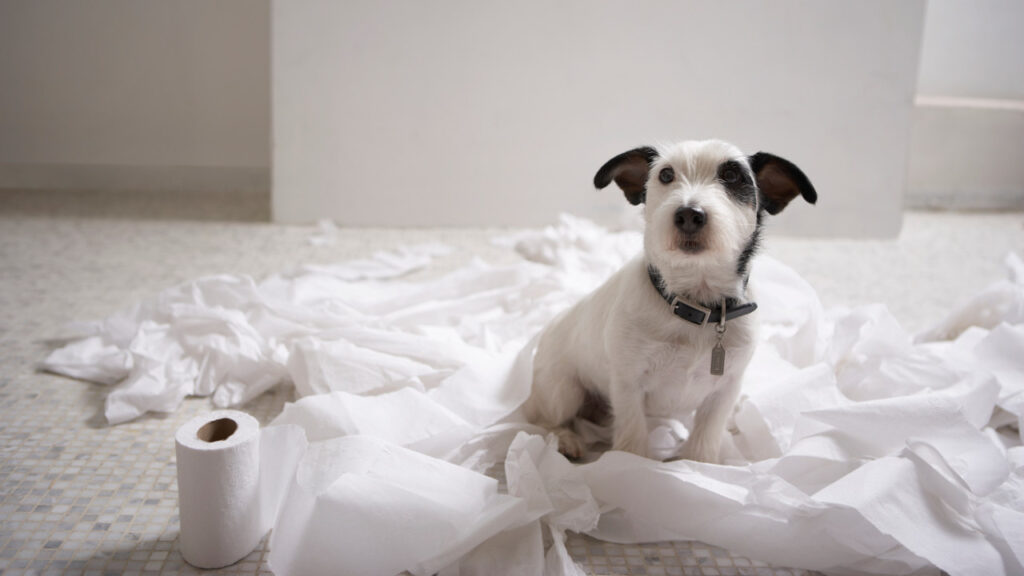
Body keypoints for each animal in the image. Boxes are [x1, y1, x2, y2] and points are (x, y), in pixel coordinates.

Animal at [520, 139, 815, 461]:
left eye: (732, 175)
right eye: (665, 175)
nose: (689, 215)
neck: (695, 305)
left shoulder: (724, 390)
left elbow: (705, 437)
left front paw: (698, 465)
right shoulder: (628, 384)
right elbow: (632, 436)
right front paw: (628, 465)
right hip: (563, 391)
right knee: (541, 420)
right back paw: (564, 439)